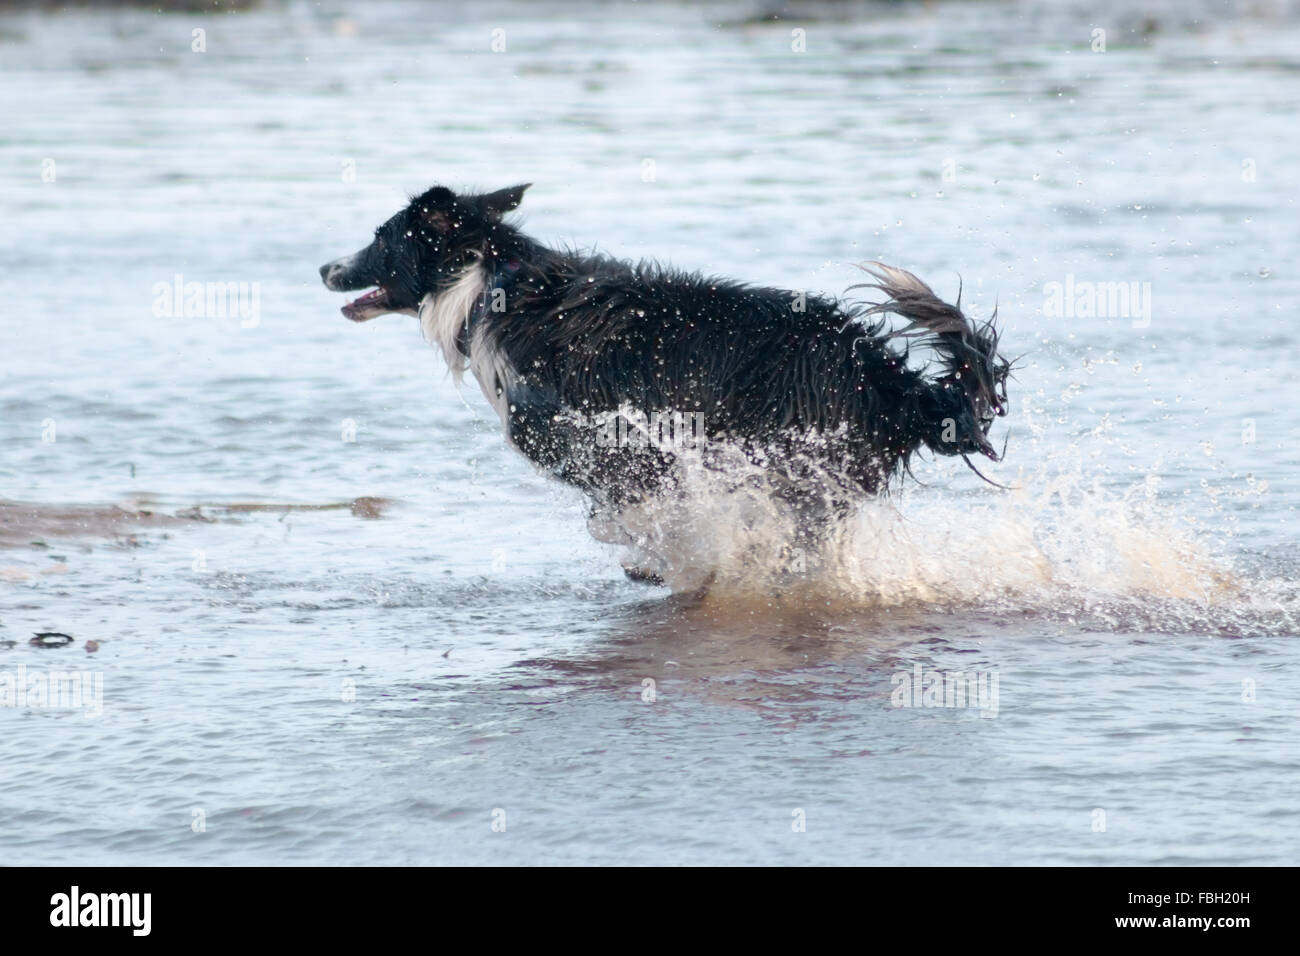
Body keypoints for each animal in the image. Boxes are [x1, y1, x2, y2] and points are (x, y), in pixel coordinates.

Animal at [319, 183, 1008, 561]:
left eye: (380, 238)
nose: (325, 267)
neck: (491, 283)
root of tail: (885, 371)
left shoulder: (580, 428)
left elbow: (626, 502)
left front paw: (653, 551)